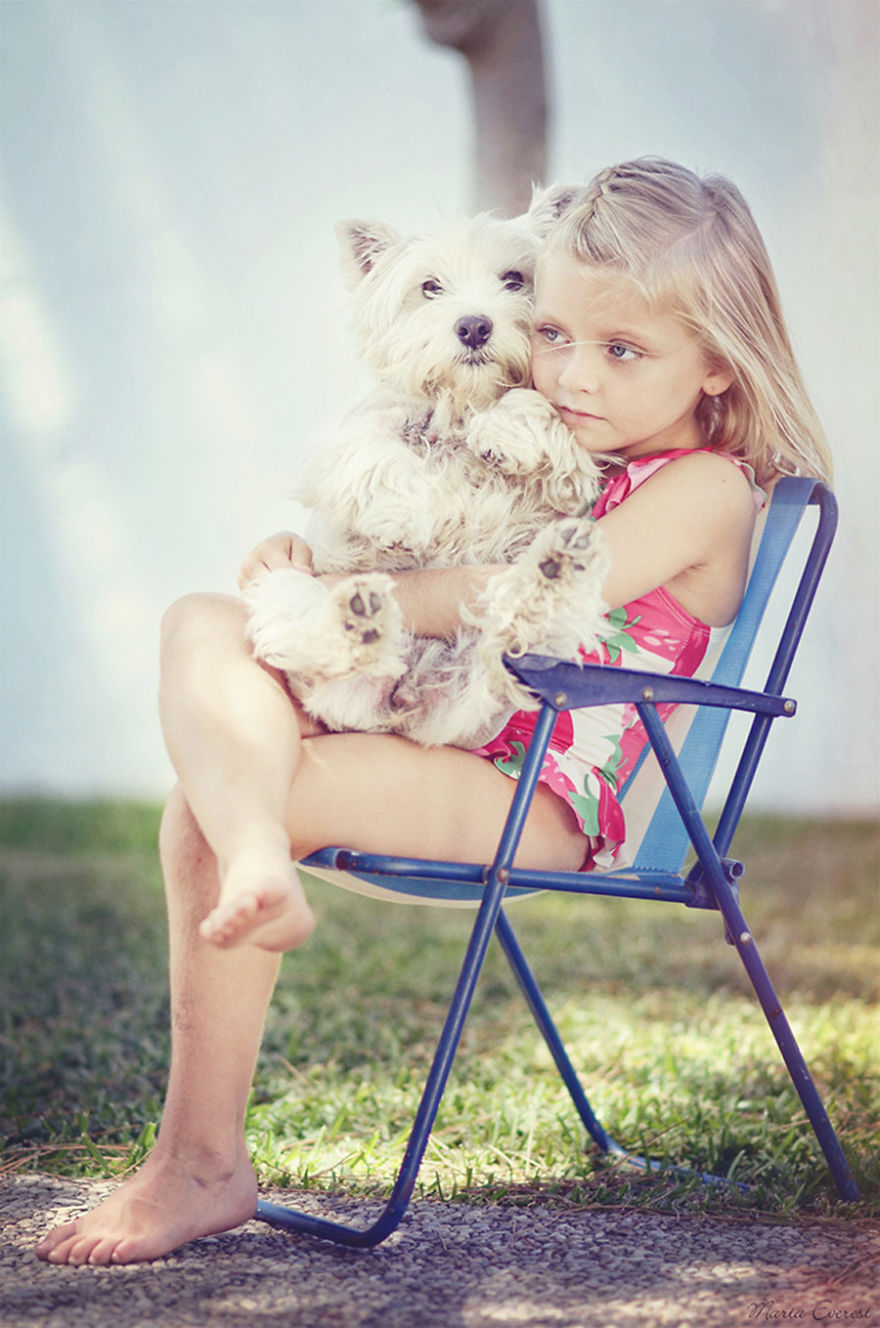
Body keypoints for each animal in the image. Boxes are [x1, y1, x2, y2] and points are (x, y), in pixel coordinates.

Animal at [244, 201, 610, 754]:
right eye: (430, 287)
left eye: (513, 279)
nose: (474, 327)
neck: (461, 403)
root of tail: (397, 708)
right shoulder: (351, 443)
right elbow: (379, 457)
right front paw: (403, 517)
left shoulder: (567, 478)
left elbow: (538, 413)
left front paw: (504, 434)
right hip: (289, 590)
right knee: (319, 640)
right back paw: (360, 619)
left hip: (485, 679)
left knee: (508, 639)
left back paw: (556, 567)